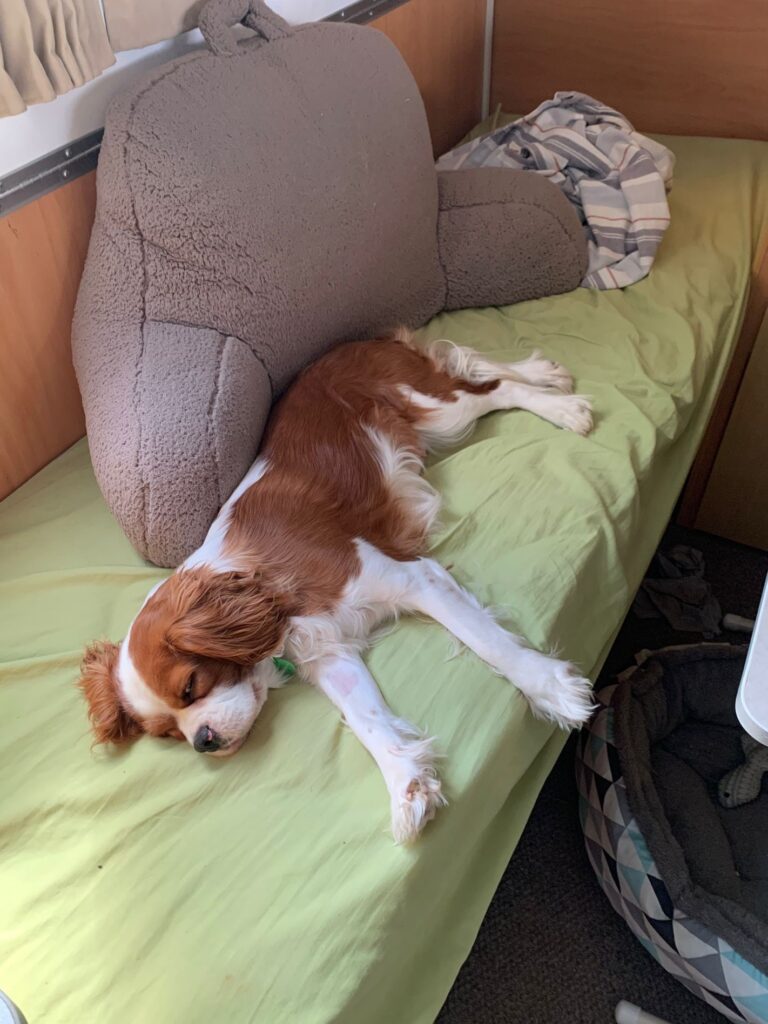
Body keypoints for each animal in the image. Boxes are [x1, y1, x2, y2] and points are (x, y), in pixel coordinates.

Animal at [79, 331, 593, 843]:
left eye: (191, 687)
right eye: (167, 733)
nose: (203, 742)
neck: (269, 589)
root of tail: (361, 340)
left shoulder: (413, 578)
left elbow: (490, 644)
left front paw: (551, 689)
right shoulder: (328, 654)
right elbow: (367, 721)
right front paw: (406, 784)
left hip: (439, 410)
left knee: (493, 389)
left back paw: (562, 407)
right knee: (482, 371)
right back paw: (546, 372)